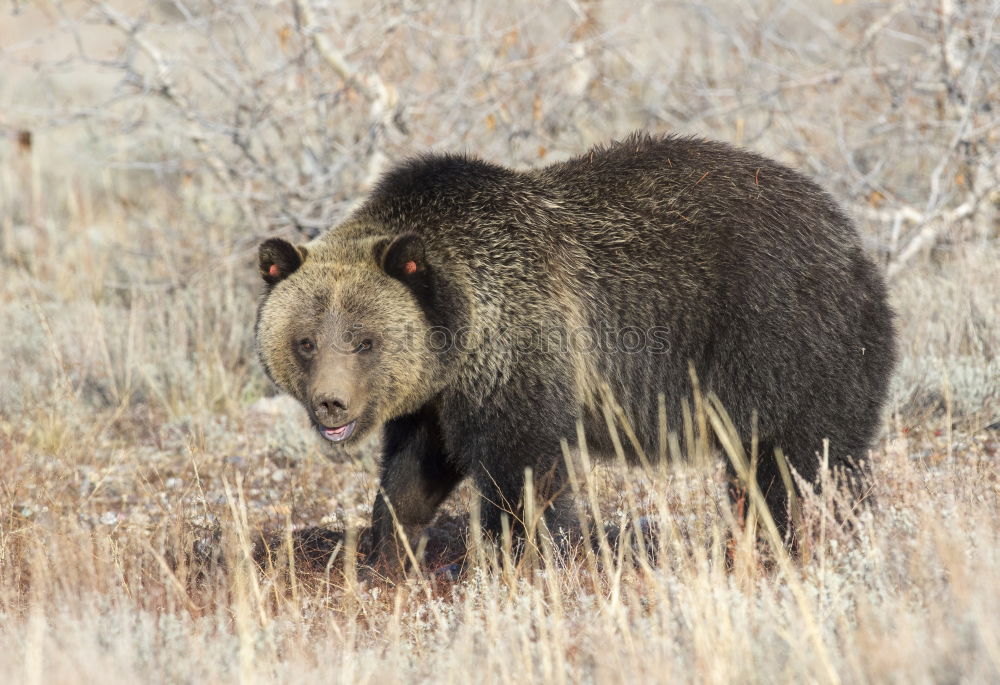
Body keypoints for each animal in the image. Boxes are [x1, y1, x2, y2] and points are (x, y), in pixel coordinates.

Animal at [254, 131, 896, 568]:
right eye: (306, 341)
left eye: (365, 340)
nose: (331, 404)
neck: (465, 332)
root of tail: (851, 238)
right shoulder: (436, 397)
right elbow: (412, 474)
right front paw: (388, 557)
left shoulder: (523, 355)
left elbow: (525, 473)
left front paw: (532, 558)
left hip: (784, 339)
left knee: (804, 460)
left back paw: (807, 538)